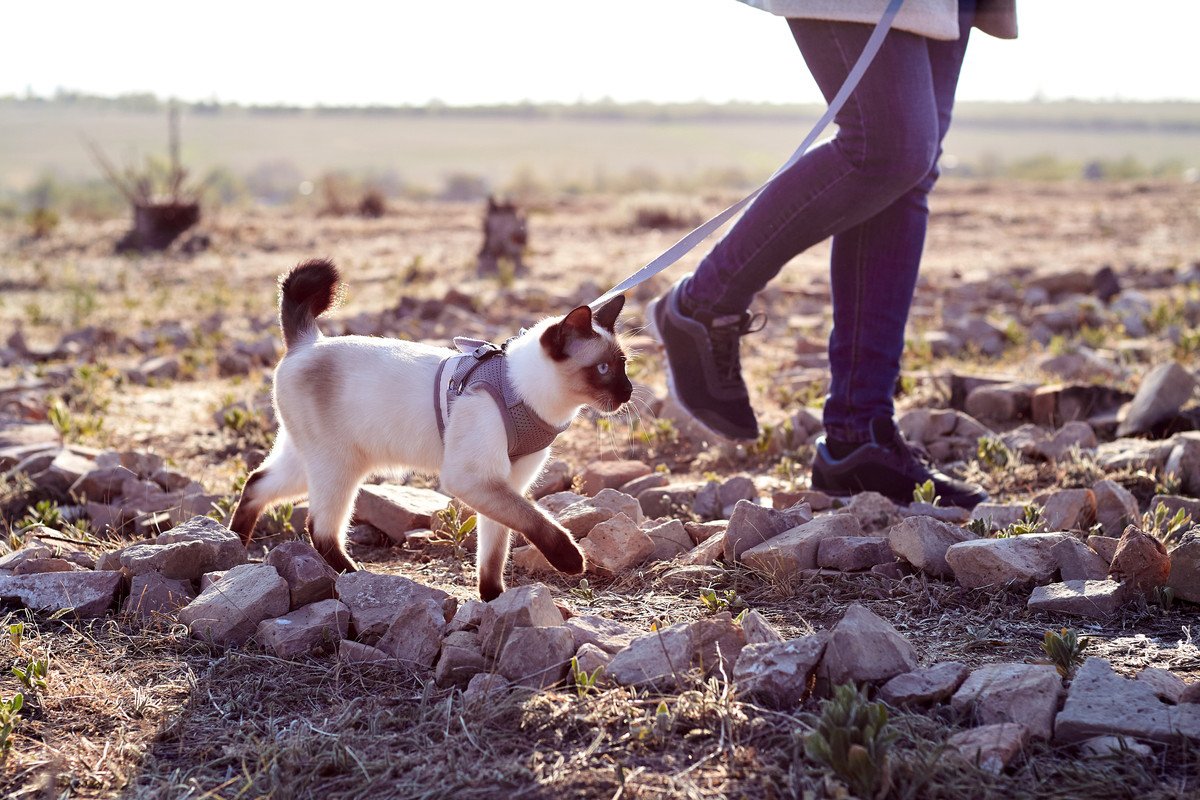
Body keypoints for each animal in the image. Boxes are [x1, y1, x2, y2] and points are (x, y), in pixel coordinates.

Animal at [228, 257, 633, 599]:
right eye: (602, 369)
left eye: (623, 365)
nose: (627, 392)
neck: (526, 396)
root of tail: (306, 342)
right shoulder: (475, 479)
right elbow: (535, 521)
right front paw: (572, 561)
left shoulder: (506, 483)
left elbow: (494, 551)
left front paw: (493, 600)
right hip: (338, 467)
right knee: (320, 528)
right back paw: (354, 577)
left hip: (309, 461)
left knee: (256, 484)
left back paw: (233, 547)